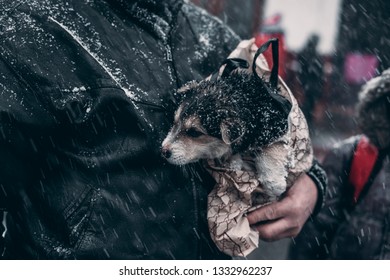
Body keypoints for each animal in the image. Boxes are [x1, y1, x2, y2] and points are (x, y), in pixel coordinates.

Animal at [161, 68, 292, 203]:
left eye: (194, 132)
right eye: (174, 122)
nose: (163, 151)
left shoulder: (278, 128)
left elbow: (270, 149)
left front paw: (274, 184)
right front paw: (232, 163)